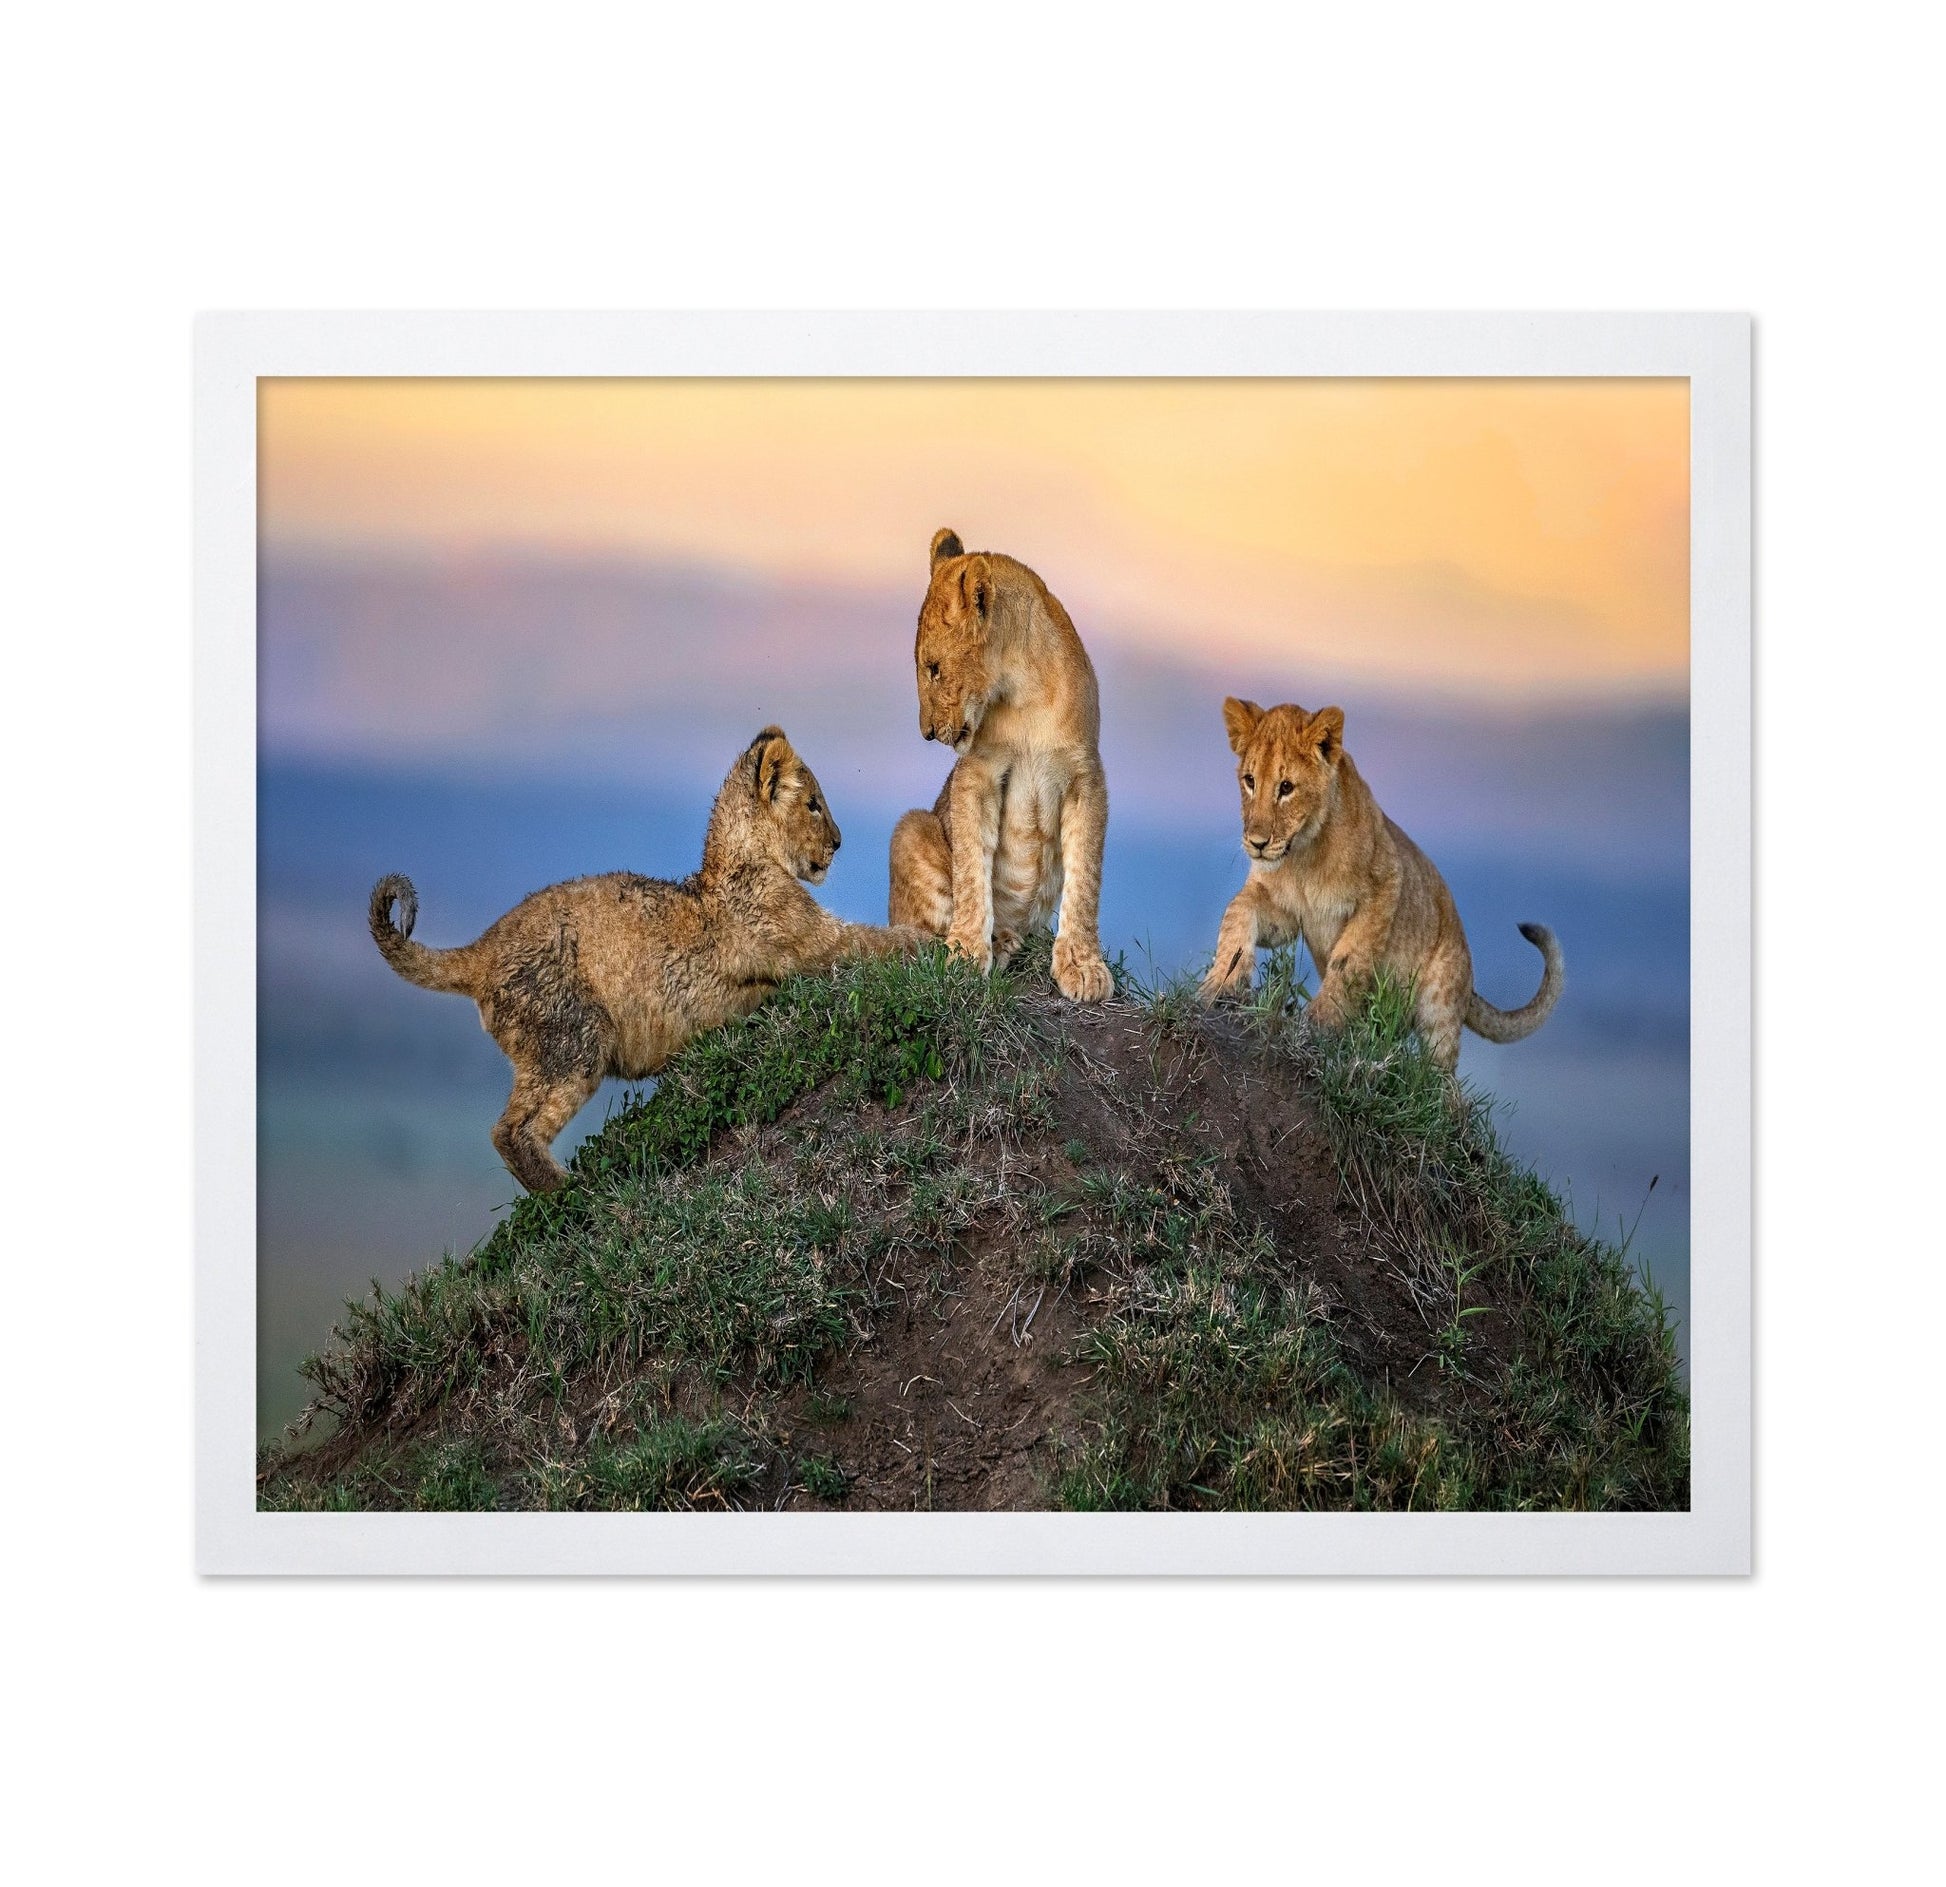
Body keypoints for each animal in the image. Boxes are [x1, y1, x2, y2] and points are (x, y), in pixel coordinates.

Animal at [370, 726, 929, 1193]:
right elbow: (878, 942)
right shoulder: (816, 944)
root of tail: (482, 949)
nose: (838, 841)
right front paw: (932, 944)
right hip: (574, 1039)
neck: (743, 860)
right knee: (512, 1131)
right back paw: (573, 1195)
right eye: (813, 804)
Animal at [887, 528, 1113, 1002]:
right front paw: (967, 954)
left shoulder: (1086, 776)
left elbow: (1085, 879)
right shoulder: (977, 773)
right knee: (915, 934)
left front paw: (1083, 967)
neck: (1024, 691)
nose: (926, 733)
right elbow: (973, 871)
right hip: (912, 827)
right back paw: (997, 940)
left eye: (933, 668)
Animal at [1197, 697, 1564, 1073]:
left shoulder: (1385, 885)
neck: (1303, 855)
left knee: (1442, 1078)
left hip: (1440, 1006)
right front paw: (1219, 984)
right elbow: (1237, 910)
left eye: (1286, 787)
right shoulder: (1285, 914)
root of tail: (1470, 981)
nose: (1257, 843)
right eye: (1250, 781)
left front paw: (1318, 1023)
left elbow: (1349, 959)